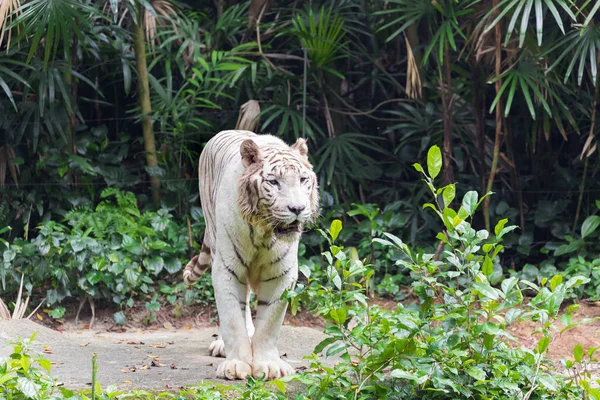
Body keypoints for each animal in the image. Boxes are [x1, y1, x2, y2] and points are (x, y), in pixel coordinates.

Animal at [183, 130, 318, 382]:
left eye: (303, 180)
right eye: (274, 182)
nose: (297, 208)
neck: (264, 231)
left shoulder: (281, 273)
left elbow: (270, 323)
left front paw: (269, 365)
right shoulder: (227, 268)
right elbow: (232, 318)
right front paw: (236, 365)